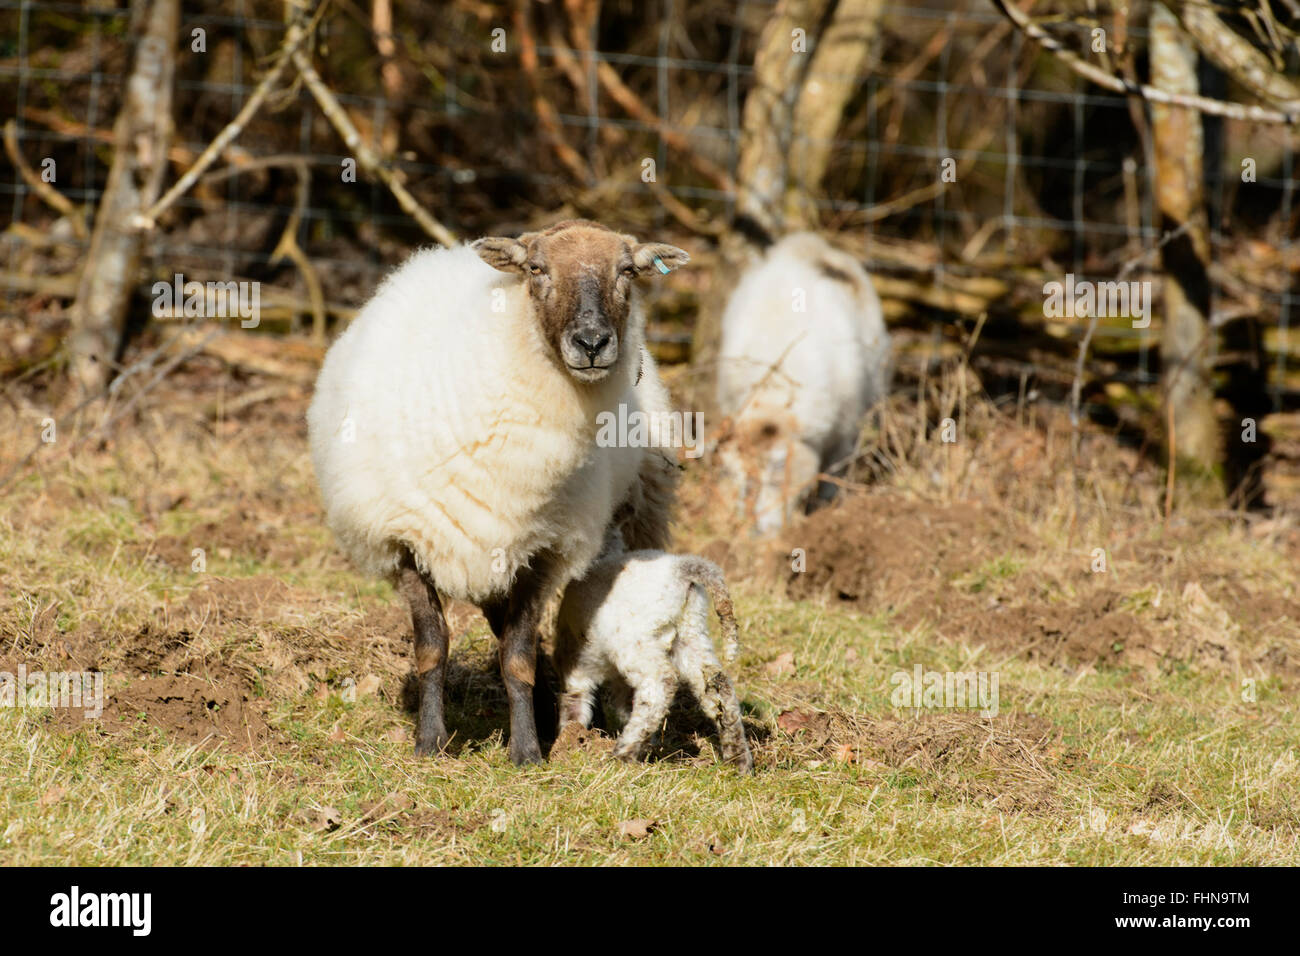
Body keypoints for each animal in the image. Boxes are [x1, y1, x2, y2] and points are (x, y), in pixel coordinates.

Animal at [307, 220, 688, 765]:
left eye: (628, 272)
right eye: (537, 269)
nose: (592, 342)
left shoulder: (543, 550)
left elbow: (517, 654)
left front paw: (527, 751)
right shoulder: (403, 542)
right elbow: (432, 648)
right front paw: (430, 743)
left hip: (638, 510)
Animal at [555, 537, 753, 773]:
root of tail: (681, 569)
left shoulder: (577, 668)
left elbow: (574, 704)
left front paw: (568, 740)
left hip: (632, 640)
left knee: (660, 684)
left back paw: (623, 753)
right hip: (691, 631)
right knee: (717, 684)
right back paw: (738, 759)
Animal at [715, 231, 892, 534]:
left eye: (778, 468)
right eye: (736, 475)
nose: (758, 530)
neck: (776, 389)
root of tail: (811, 245)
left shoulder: (845, 435)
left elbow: (831, 482)